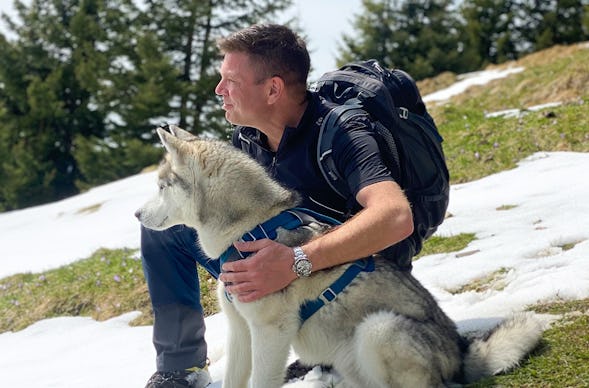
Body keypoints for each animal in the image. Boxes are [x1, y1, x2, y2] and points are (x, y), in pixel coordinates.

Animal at [136, 126, 544, 386]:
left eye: (161, 186)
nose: (136, 214)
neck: (247, 229)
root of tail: (460, 352)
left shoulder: (270, 332)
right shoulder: (240, 330)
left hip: (378, 329)